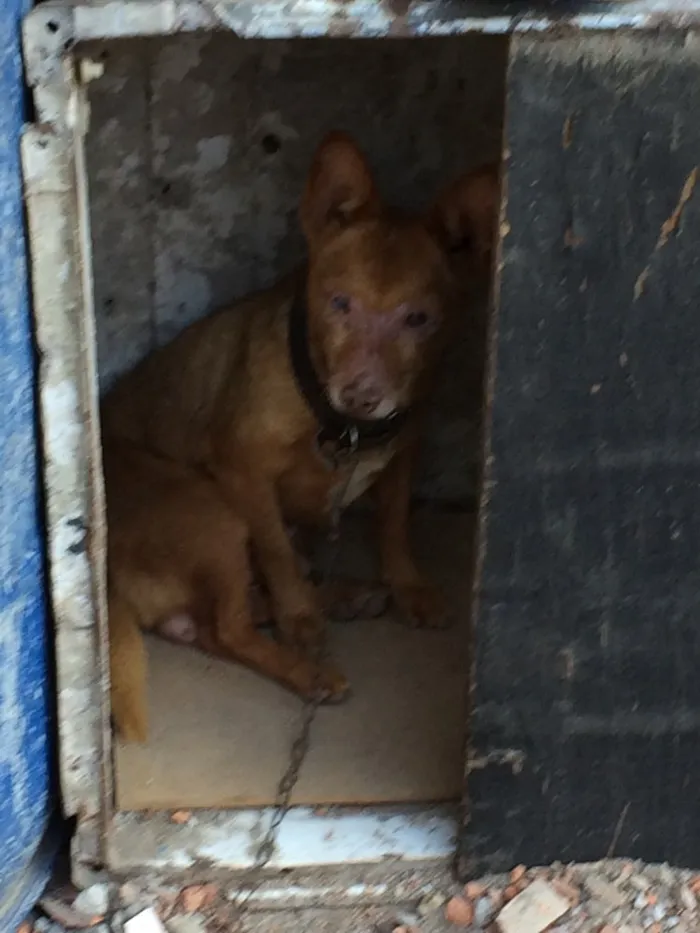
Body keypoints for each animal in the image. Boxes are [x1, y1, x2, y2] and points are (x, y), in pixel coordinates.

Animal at [102, 133, 498, 744]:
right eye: (339, 304)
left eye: (418, 319)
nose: (362, 395)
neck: (339, 421)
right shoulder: (244, 473)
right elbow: (277, 552)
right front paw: (301, 619)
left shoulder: (406, 452)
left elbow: (394, 525)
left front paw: (408, 585)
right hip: (209, 511)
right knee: (228, 628)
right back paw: (308, 665)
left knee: (214, 622)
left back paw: (347, 594)